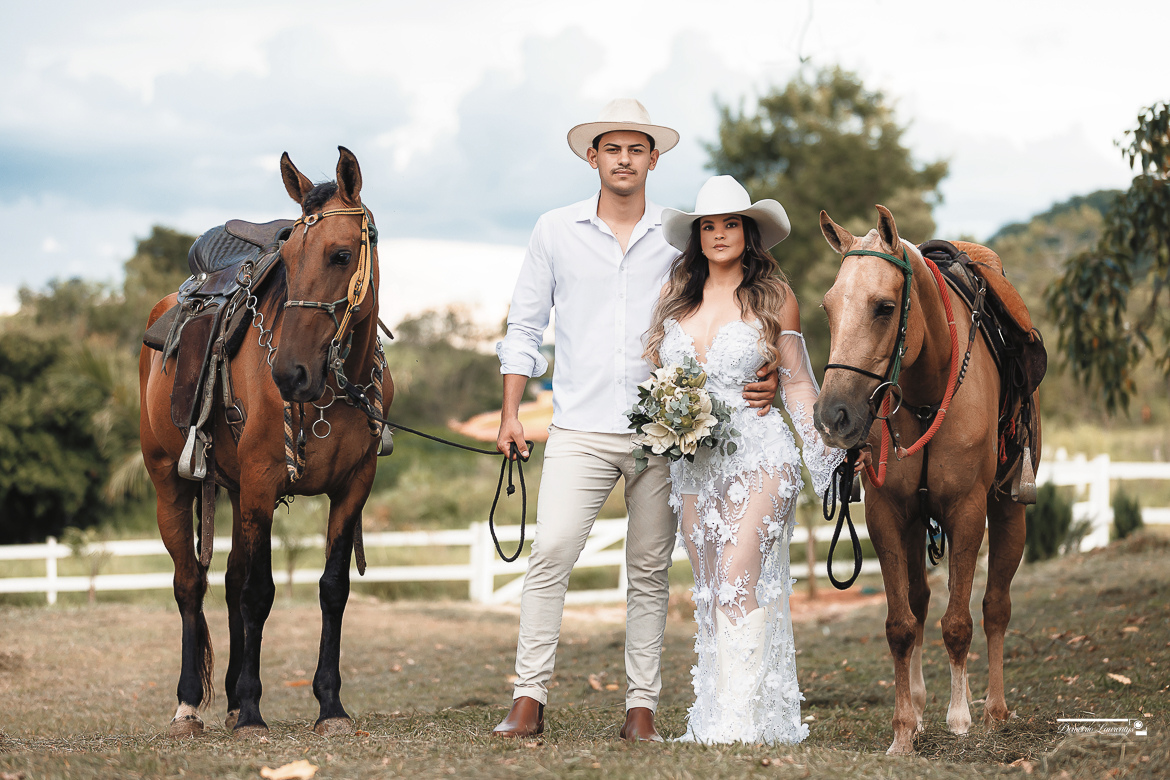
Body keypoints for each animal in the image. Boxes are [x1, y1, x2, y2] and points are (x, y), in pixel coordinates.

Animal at [139, 147, 391, 738]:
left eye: (341, 254)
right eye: (289, 258)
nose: (289, 374)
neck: (334, 385)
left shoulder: (353, 487)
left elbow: (332, 588)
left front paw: (329, 705)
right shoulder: (261, 483)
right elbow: (259, 593)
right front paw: (253, 712)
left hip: (233, 491)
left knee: (228, 582)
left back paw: (229, 700)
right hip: (170, 485)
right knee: (191, 585)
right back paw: (189, 705)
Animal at [813, 205, 1038, 755]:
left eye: (884, 307)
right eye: (828, 308)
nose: (833, 416)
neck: (926, 391)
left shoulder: (967, 511)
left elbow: (959, 622)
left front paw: (960, 718)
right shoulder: (887, 515)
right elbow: (901, 624)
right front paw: (903, 729)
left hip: (1008, 511)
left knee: (995, 606)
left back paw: (995, 709)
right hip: (917, 524)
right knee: (919, 602)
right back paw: (917, 706)